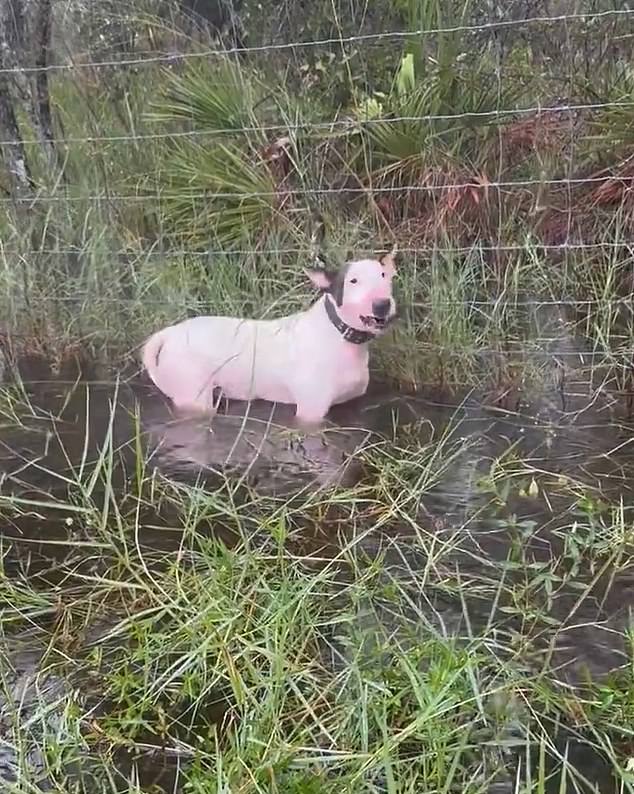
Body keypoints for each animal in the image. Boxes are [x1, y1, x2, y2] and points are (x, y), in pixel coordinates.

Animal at [143, 246, 396, 424]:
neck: (339, 335)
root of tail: (169, 333)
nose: (382, 304)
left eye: (384, 275)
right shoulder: (310, 413)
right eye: (353, 280)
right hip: (194, 396)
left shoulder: (352, 403)